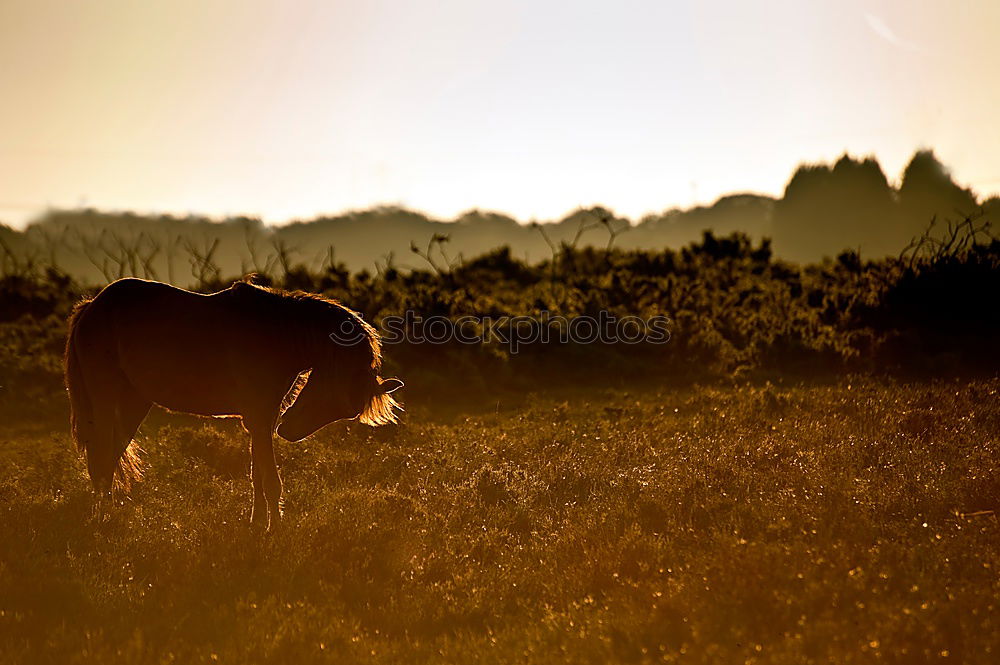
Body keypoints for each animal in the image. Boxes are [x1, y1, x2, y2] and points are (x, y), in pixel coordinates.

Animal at [62, 274, 402, 524]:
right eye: (332, 389)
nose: (289, 431)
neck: (278, 333)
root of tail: (92, 306)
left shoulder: (261, 418)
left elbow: (258, 477)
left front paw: (258, 526)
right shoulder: (261, 418)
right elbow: (271, 481)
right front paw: (276, 531)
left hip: (134, 403)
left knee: (110, 458)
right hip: (106, 400)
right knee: (102, 460)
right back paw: (103, 520)